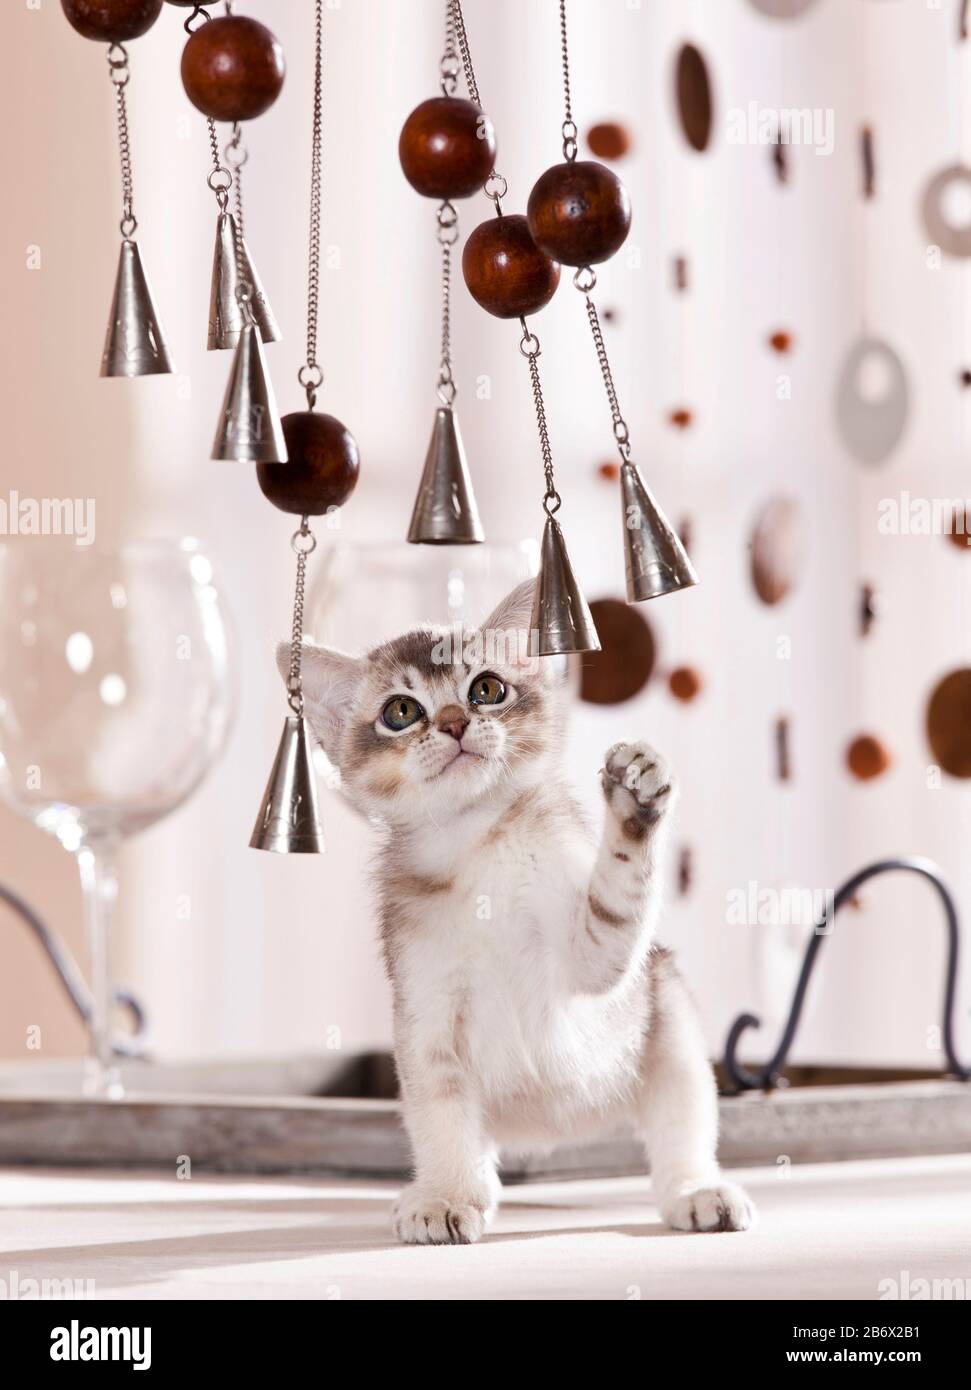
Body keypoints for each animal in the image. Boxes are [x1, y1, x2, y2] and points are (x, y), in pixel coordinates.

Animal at [284, 581, 755, 1245]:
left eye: (487, 689)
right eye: (400, 712)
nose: (455, 723)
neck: (479, 848)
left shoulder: (593, 966)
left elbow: (614, 907)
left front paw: (634, 804)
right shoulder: (425, 1014)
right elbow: (439, 1114)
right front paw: (446, 1199)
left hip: (672, 1024)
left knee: (681, 1135)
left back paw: (697, 1192)